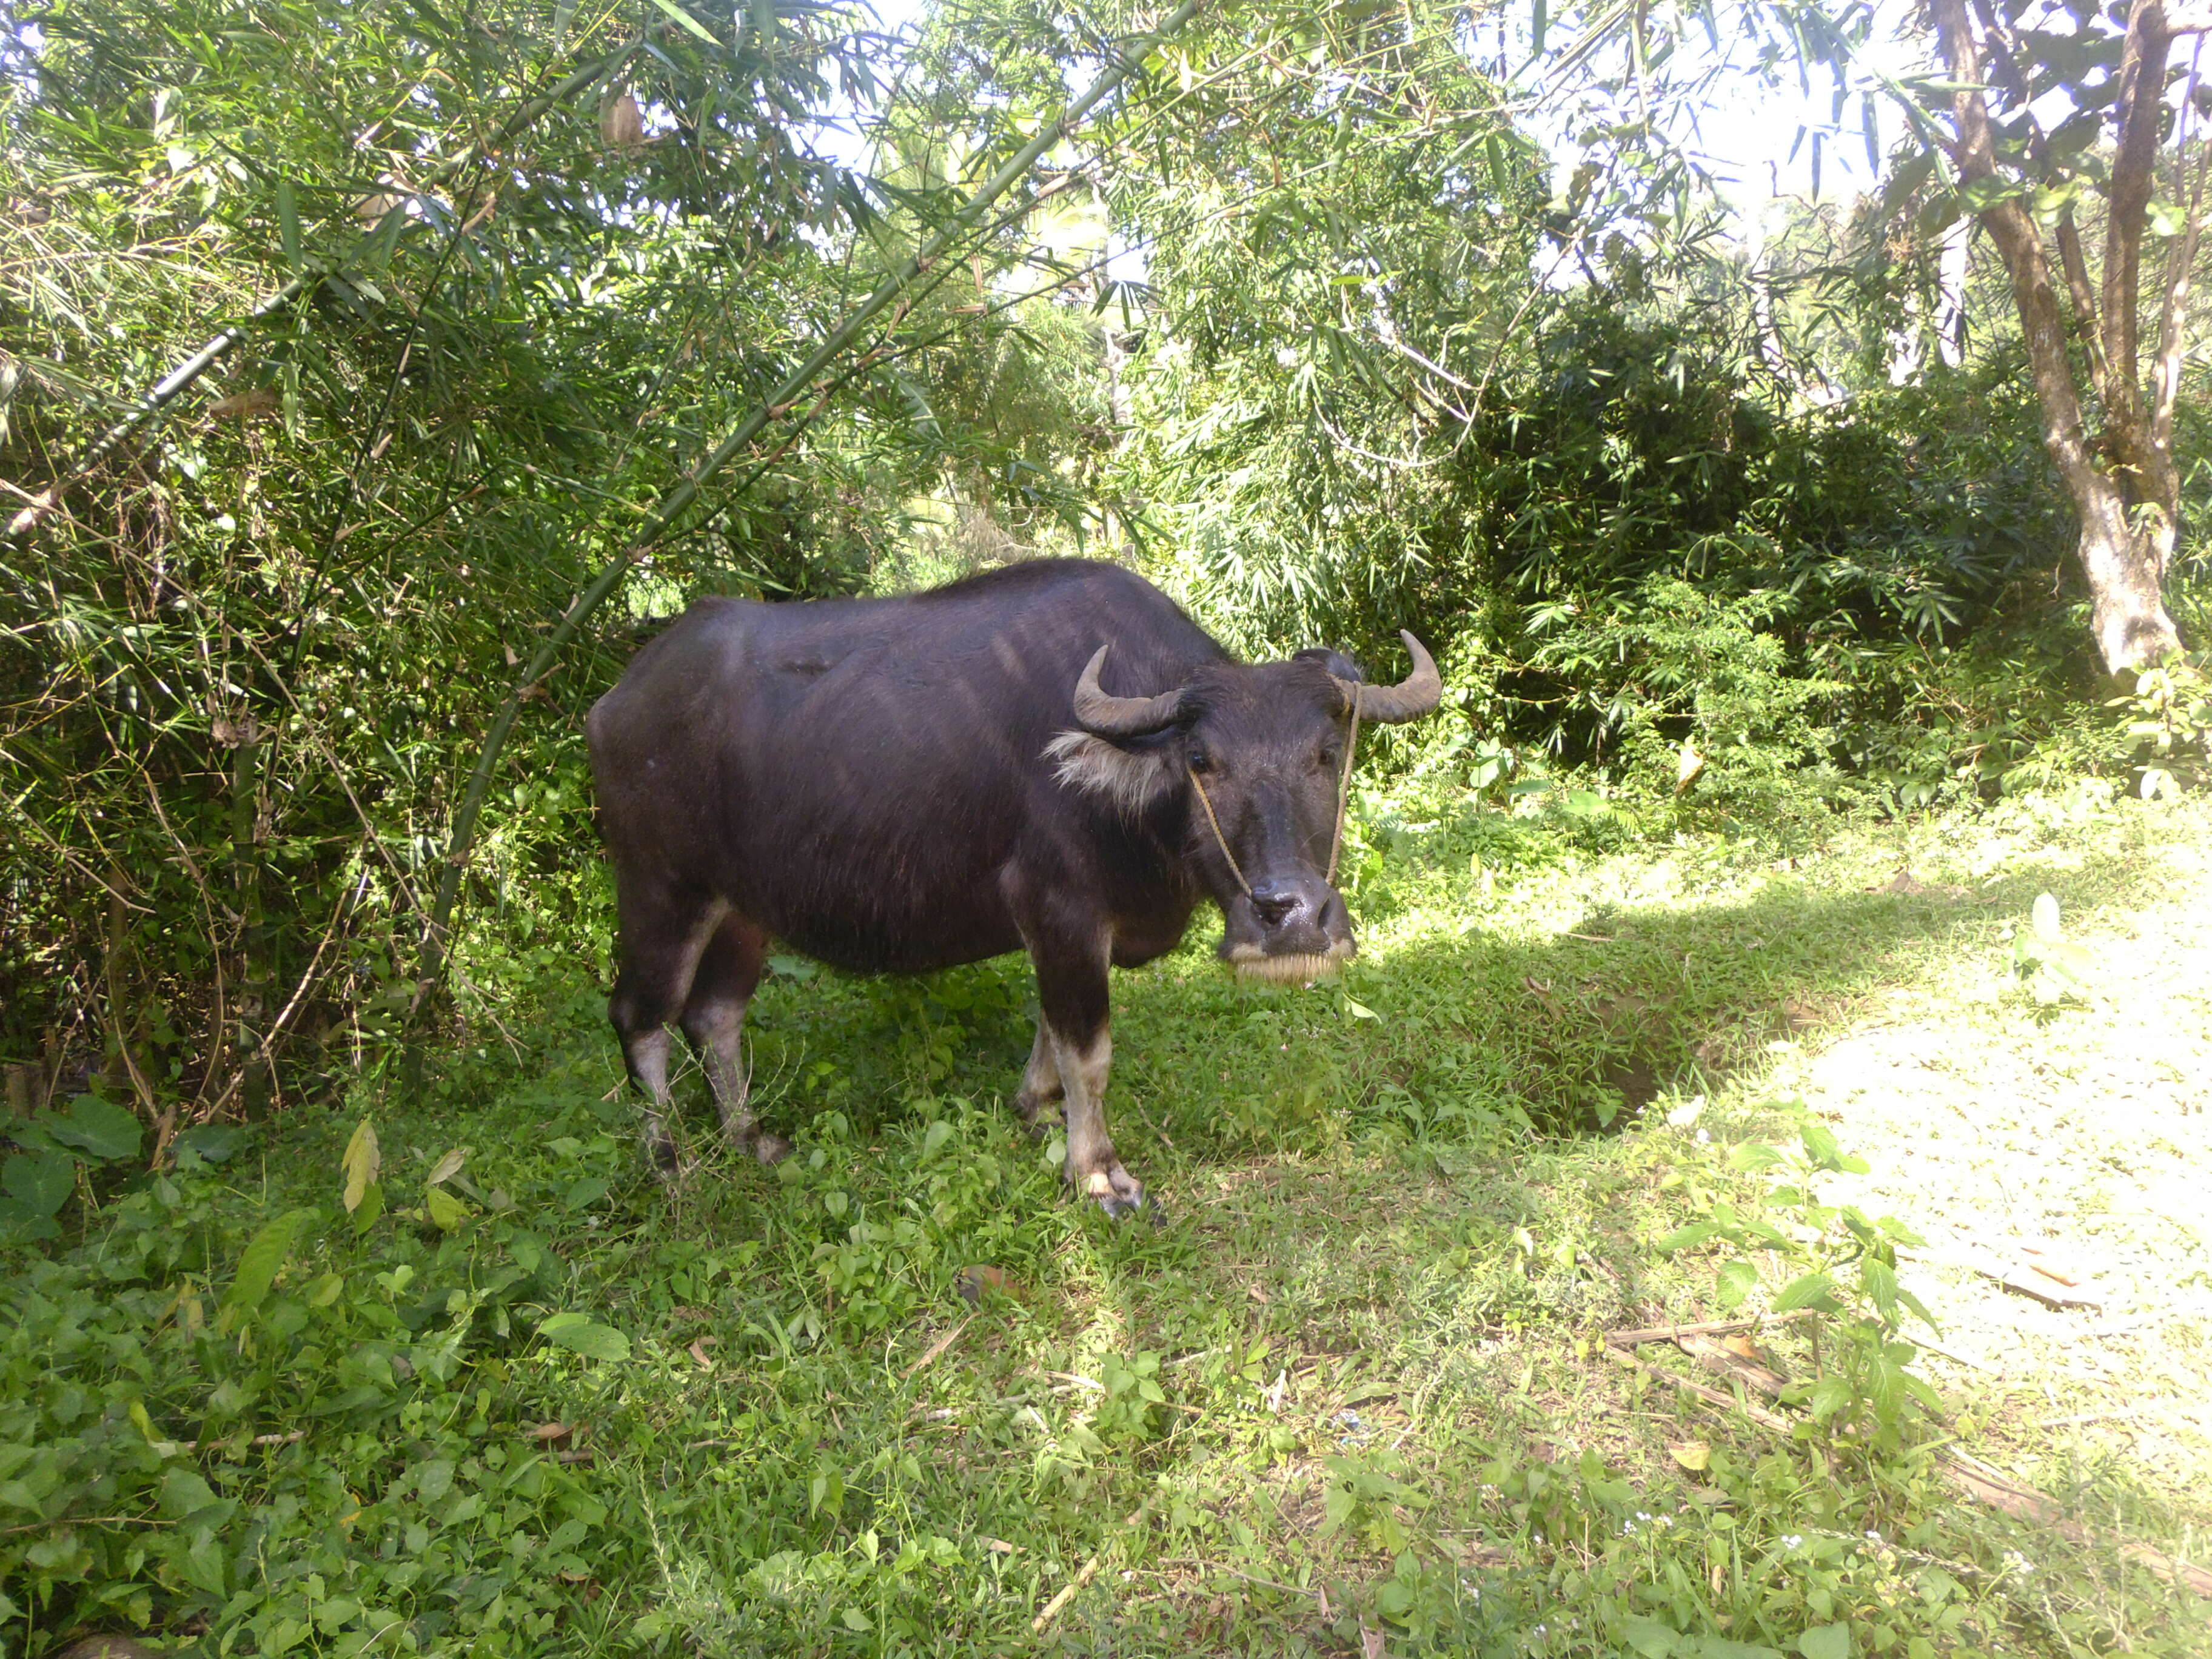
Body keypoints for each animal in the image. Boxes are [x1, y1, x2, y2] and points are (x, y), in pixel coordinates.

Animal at [588, 553, 1442, 1212]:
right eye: (1203, 761)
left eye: (1326, 755)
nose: (1289, 917)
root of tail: (614, 702)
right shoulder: (1060, 909)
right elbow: (1088, 1049)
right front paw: (1098, 1175)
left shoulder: (1061, 930)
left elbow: (1049, 1030)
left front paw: (1038, 1111)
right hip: (660, 889)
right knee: (640, 1016)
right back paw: (672, 1167)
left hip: (743, 909)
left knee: (714, 1017)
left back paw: (748, 1139)